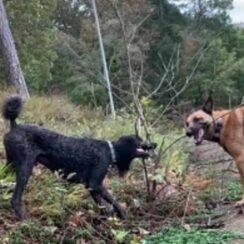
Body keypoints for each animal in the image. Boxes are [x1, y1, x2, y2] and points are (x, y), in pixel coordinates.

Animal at [1, 95, 156, 219]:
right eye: (140, 140)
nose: (154, 144)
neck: (111, 151)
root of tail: (14, 126)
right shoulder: (95, 183)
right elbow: (112, 200)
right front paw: (122, 214)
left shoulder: (91, 187)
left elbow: (102, 204)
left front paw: (107, 216)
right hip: (25, 167)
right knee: (15, 199)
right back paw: (24, 218)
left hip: (10, 164)